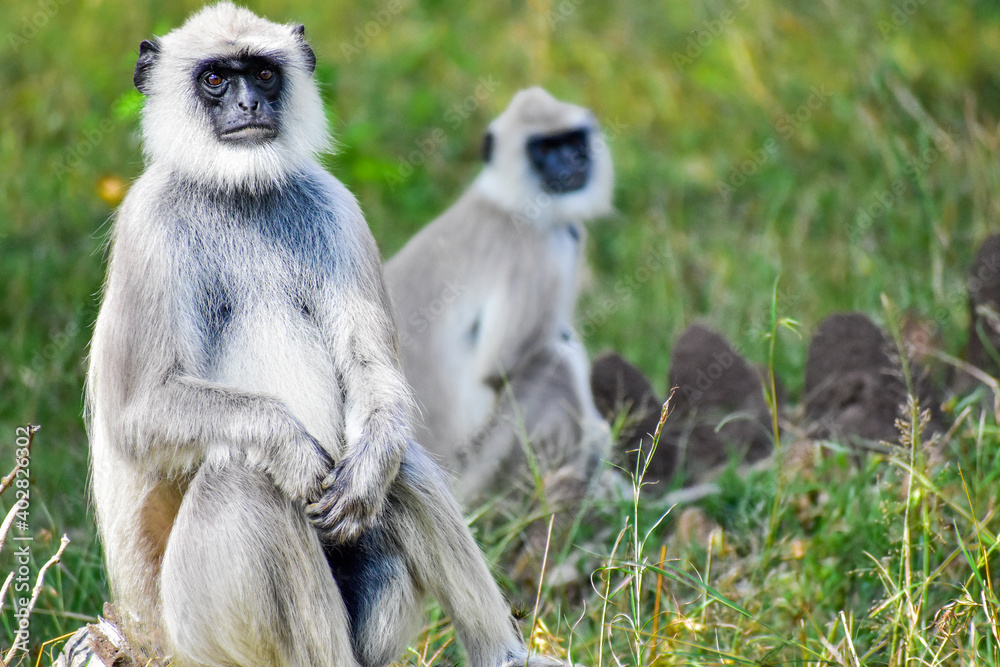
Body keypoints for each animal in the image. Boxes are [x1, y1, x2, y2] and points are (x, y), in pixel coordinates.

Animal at [85, 6, 563, 667]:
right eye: (215, 79)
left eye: (263, 73)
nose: (248, 104)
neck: (242, 193)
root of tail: (135, 632)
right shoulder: (147, 226)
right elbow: (137, 414)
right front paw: (288, 445)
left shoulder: (336, 207)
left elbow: (372, 376)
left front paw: (365, 467)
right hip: (194, 633)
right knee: (243, 479)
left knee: (400, 464)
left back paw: (502, 651)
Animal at [383, 87, 614, 544]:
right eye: (544, 149)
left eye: (572, 141)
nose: (570, 162)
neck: (507, 204)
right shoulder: (539, 250)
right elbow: (500, 365)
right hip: (480, 472)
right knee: (554, 359)